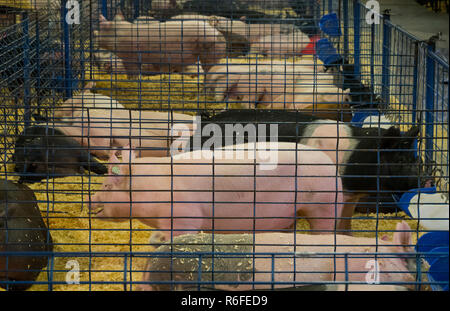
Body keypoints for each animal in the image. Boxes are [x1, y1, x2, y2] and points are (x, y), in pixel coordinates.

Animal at [88, 143, 346, 240]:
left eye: (106, 186)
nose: (90, 200)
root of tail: (329, 162)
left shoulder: (183, 217)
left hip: (324, 204)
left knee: (324, 228)